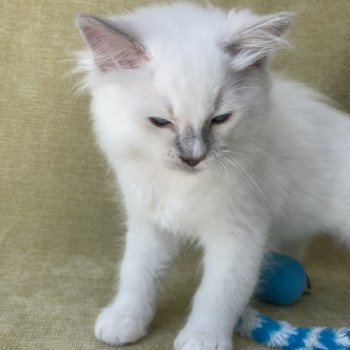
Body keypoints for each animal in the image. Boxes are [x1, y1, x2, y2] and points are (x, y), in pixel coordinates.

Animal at [75, 2, 348, 350]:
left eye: (220, 119)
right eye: (160, 122)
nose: (193, 157)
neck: (181, 185)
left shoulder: (237, 235)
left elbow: (218, 294)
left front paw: (202, 338)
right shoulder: (149, 224)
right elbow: (137, 274)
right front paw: (125, 320)